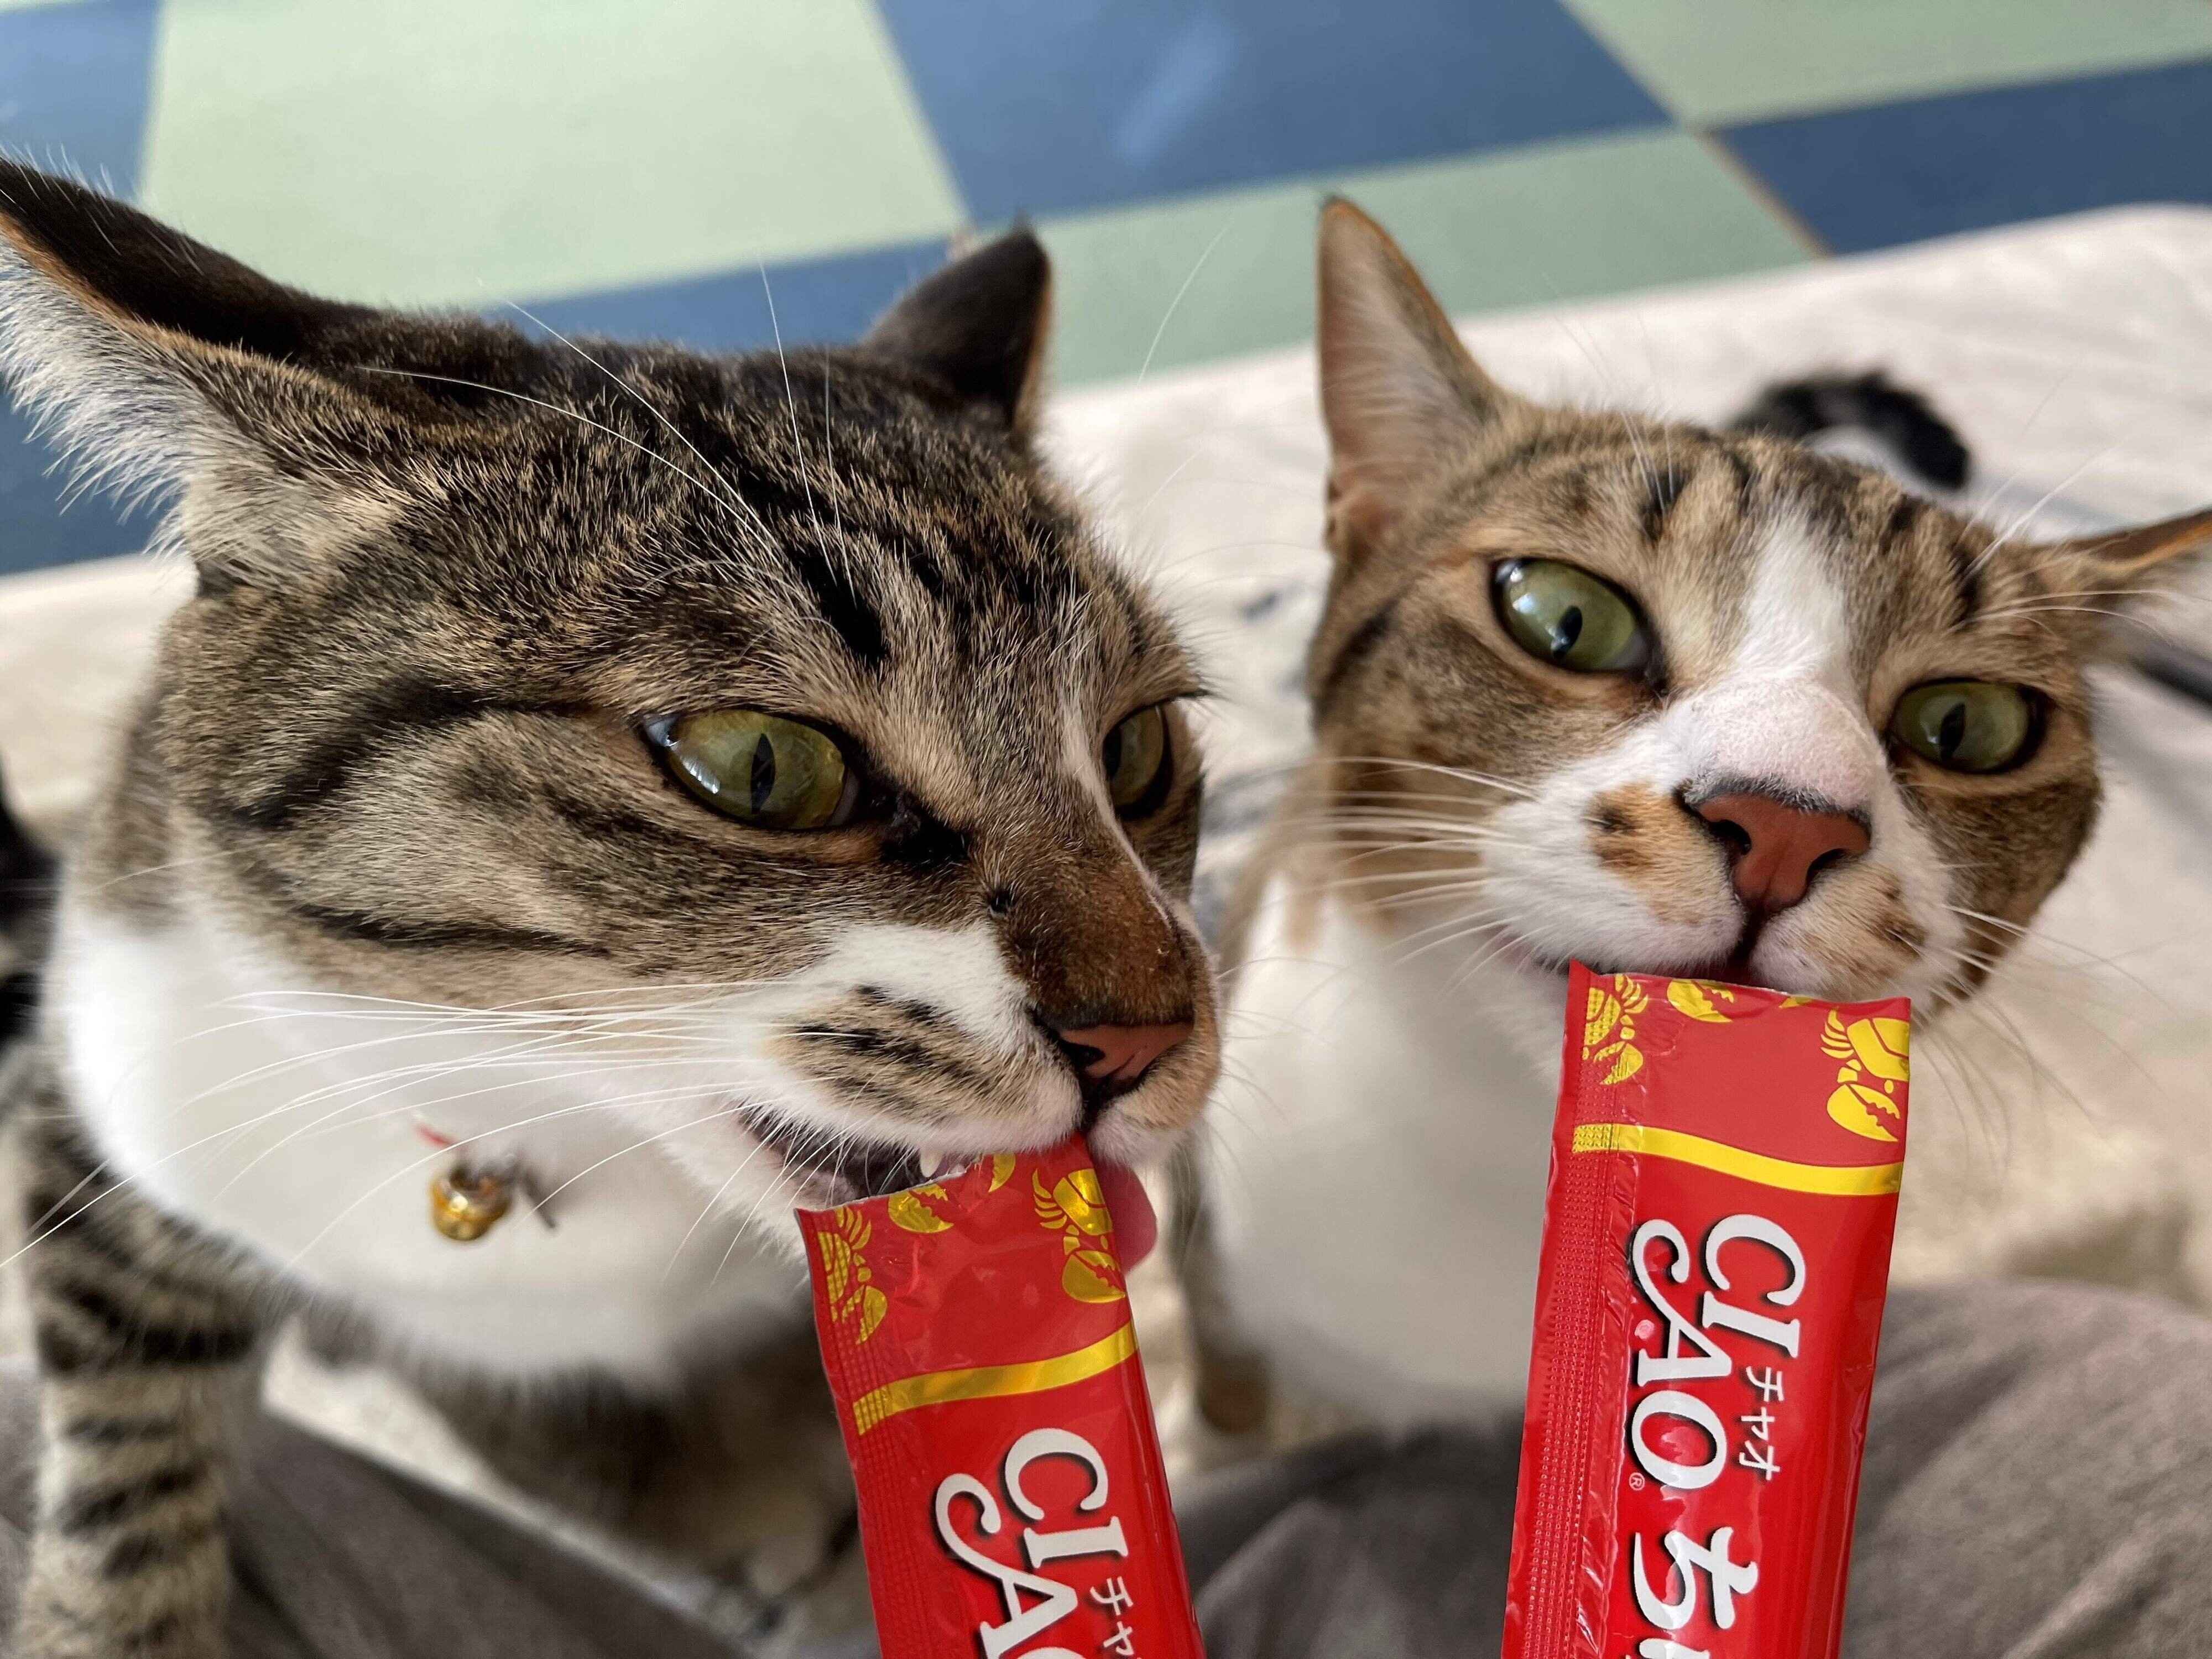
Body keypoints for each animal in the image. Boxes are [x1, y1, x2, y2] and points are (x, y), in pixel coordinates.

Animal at [0, 160, 1220, 1659]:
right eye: (760, 764)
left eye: (1138, 749)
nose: (1148, 1034)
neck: (561, 1141)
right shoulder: (103, 1101)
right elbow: (126, 1469)